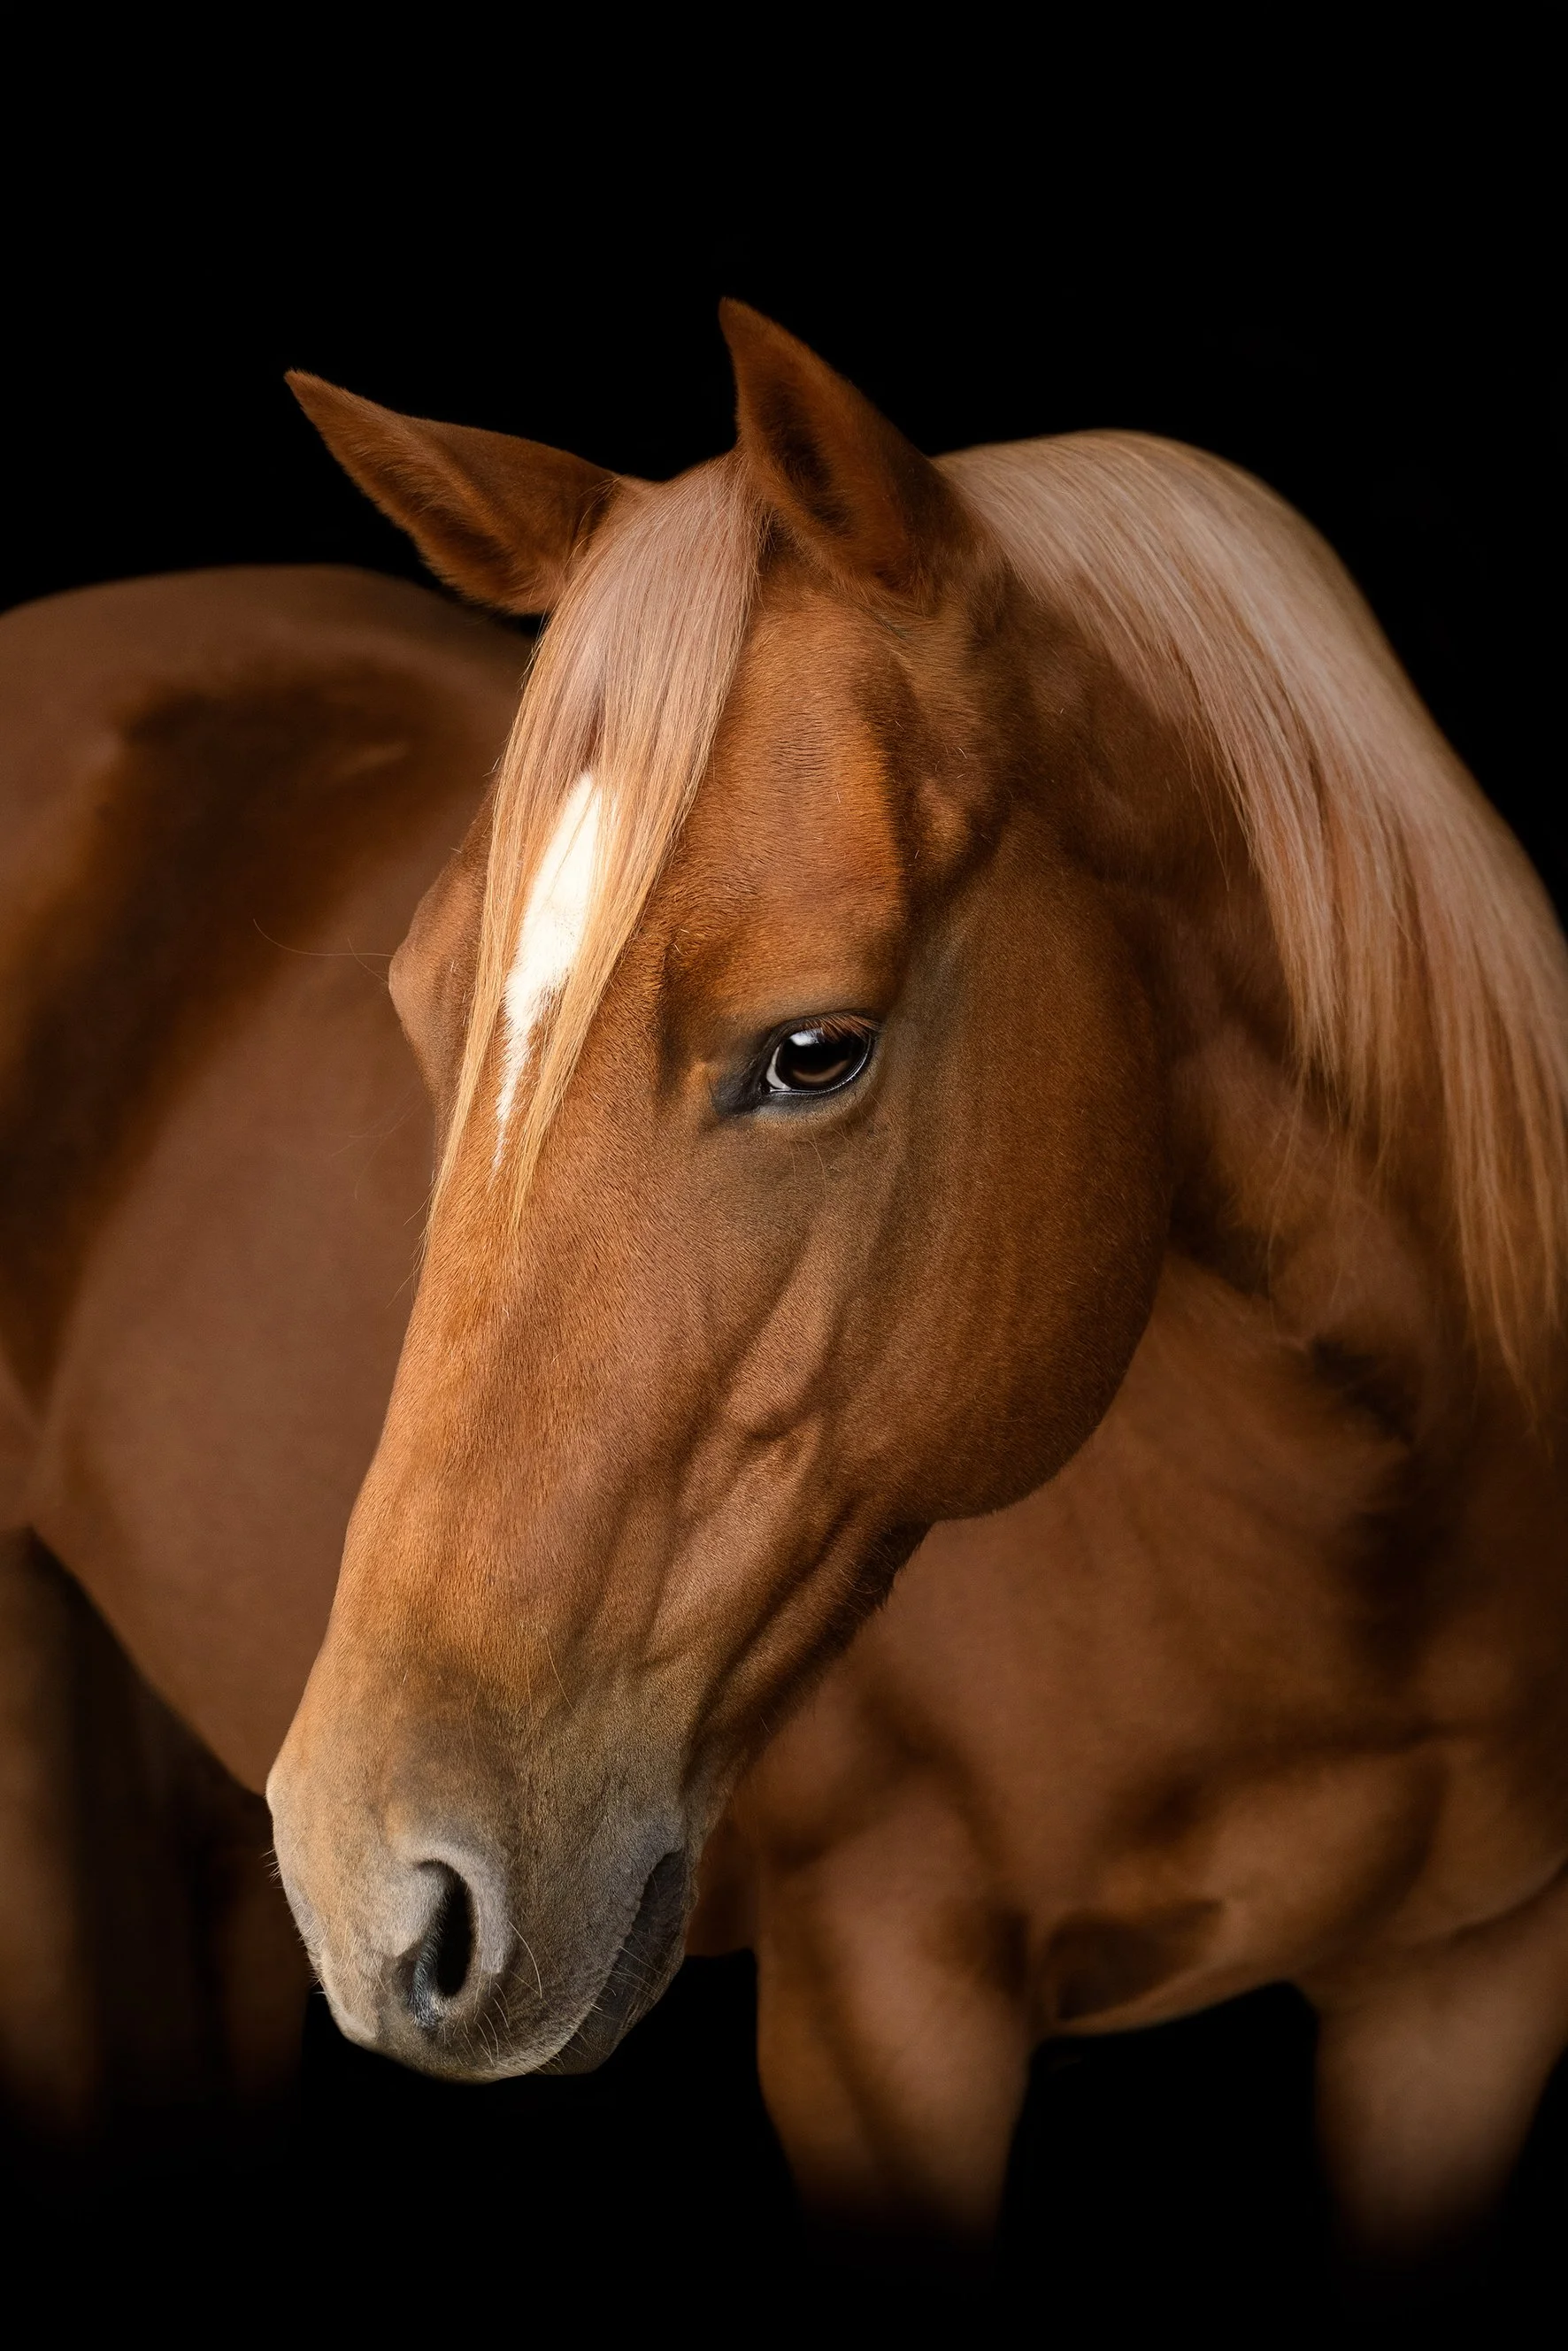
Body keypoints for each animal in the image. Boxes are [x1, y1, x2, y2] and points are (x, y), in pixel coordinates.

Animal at [4, 309, 1566, 2268]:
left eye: (813, 1049)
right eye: (424, 1011)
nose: (375, 1875)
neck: (1351, 1551)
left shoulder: (1468, 1986)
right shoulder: (883, 2008)